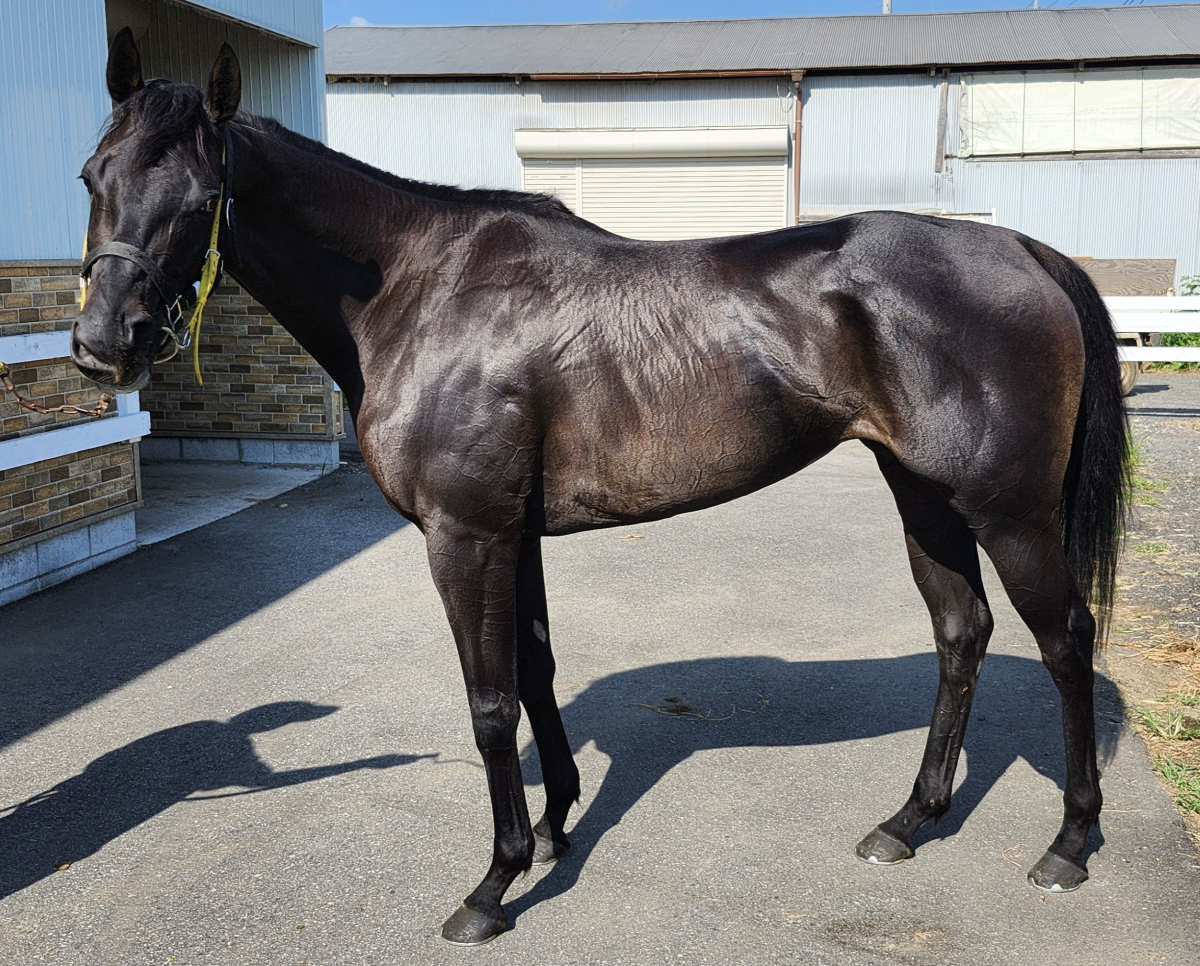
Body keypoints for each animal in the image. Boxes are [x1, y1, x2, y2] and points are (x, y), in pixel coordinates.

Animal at [70, 30, 1127, 946]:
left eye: (204, 194)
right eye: (92, 177)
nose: (103, 344)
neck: (420, 289)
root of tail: (1022, 250)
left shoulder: (465, 536)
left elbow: (489, 701)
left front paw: (492, 885)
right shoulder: (515, 535)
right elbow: (535, 672)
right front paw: (553, 831)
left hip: (1006, 509)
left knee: (1065, 640)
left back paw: (1070, 843)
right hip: (924, 495)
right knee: (961, 634)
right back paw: (909, 821)